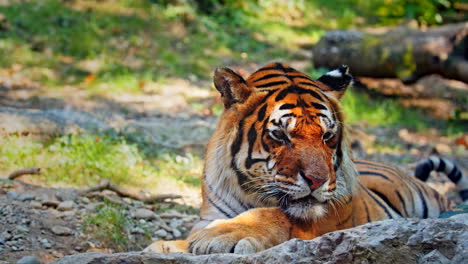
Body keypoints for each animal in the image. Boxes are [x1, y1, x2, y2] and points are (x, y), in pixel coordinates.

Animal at [144, 63, 466, 255]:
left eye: (327, 136)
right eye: (280, 135)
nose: (317, 180)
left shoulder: (333, 215)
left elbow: (276, 214)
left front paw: (221, 236)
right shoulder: (208, 216)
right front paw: (167, 246)